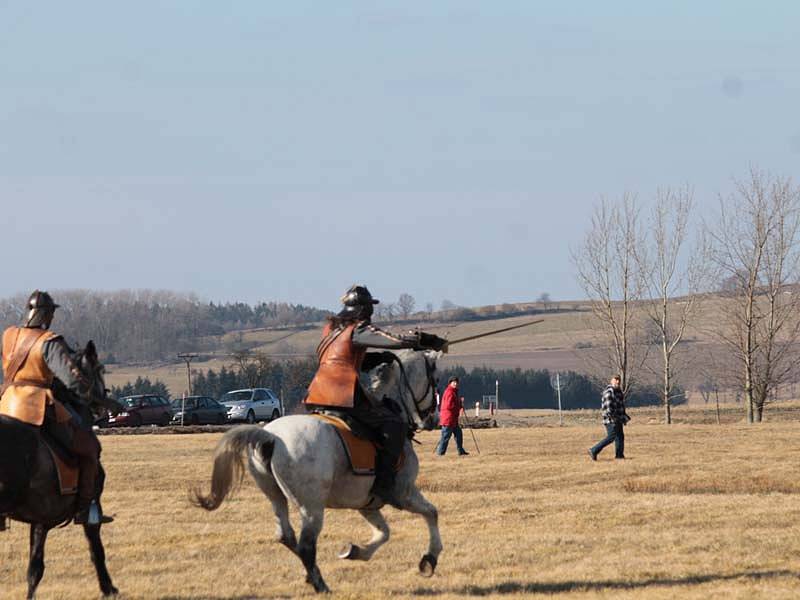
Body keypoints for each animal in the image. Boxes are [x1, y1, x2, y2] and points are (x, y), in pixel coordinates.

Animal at [194, 350, 444, 592]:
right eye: (435, 380)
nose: (434, 419)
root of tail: (270, 435)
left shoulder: (366, 503)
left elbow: (384, 532)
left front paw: (356, 551)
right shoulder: (404, 493)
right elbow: (431, 513)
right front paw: (429, 559)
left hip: (275, 495)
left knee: (287, 535)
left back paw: (311, 574)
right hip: (312, 506)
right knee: (306, 544)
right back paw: (320, 584)